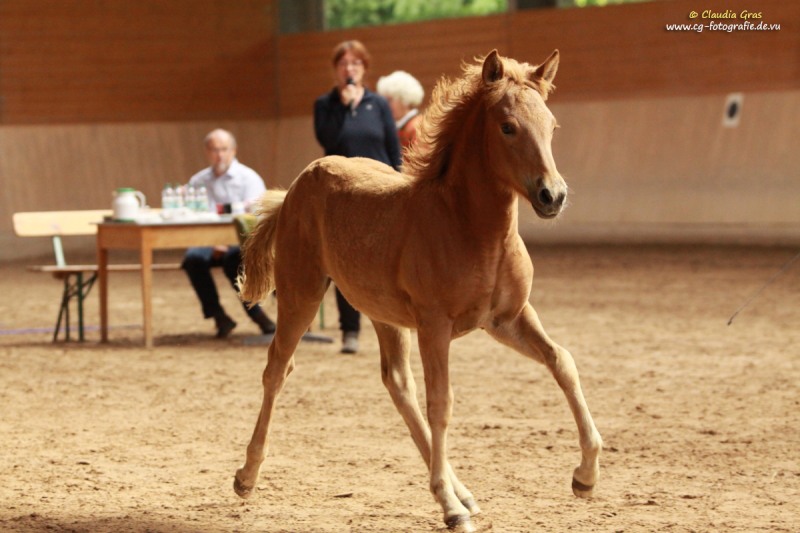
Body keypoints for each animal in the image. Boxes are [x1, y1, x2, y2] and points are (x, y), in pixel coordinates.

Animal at [233, 49, 602, 532]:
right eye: (507, 126)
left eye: (552, 126)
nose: (552, 196)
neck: (470, 227)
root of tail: (298, 184)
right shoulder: (434, 325)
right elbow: (441, 403)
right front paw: (448, 507)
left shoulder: (507, 319)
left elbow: (563, 362)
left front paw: (586, 476)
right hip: (302, 292)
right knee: (277, 369)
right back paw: (246, 476)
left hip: (382, 313)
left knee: (396, 382)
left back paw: (465, 492)